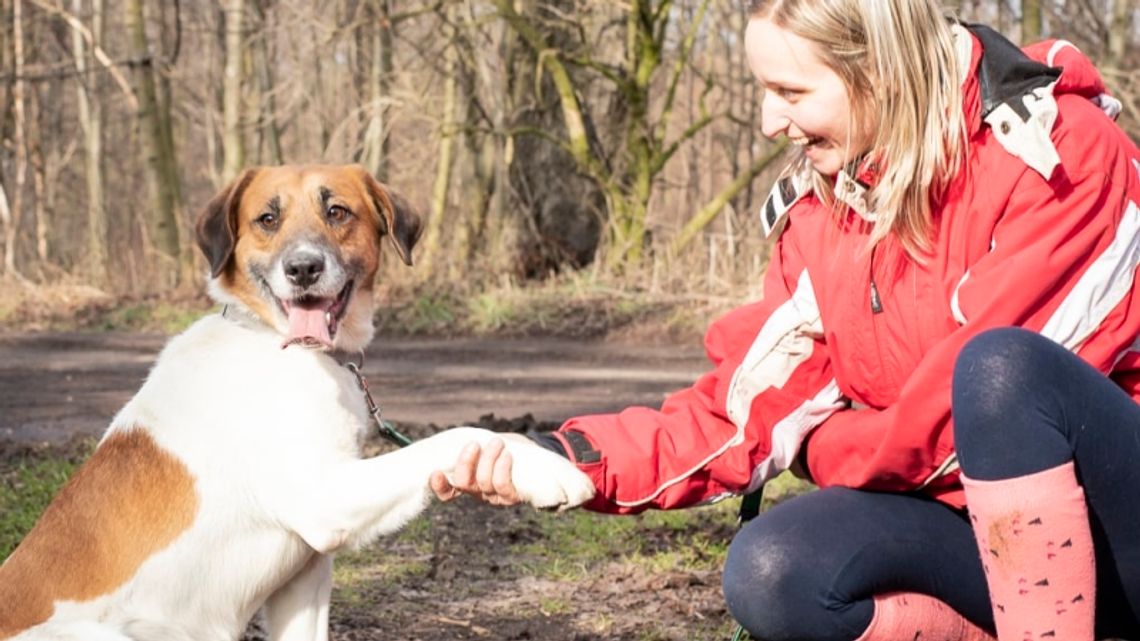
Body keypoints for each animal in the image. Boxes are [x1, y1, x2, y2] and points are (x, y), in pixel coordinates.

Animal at [0, 164, 601, 638]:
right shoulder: (323, 498)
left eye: (336, 211)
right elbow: (459, 434)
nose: (304, 269)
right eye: (267, 220)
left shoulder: (305, 575)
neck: (279, 345)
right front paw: (545, 468)